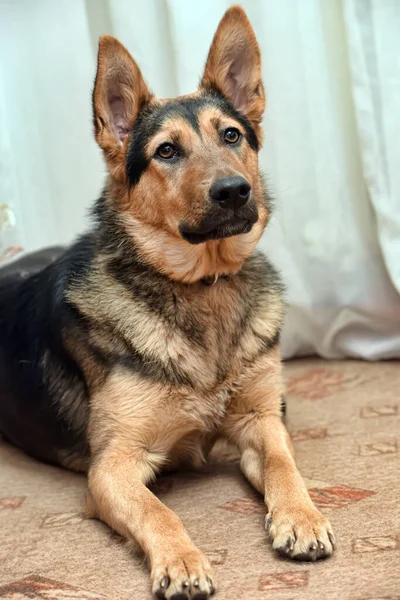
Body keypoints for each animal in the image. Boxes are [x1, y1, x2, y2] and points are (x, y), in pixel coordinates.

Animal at [0, 5, 334, 600]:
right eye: (166, 152)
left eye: (231, 136)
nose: (234, 192)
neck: (203, 285)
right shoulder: (112, 467)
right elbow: (157, 511)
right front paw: (180, 559)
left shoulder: (263, 420)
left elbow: (283, 467)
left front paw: (302, 516)